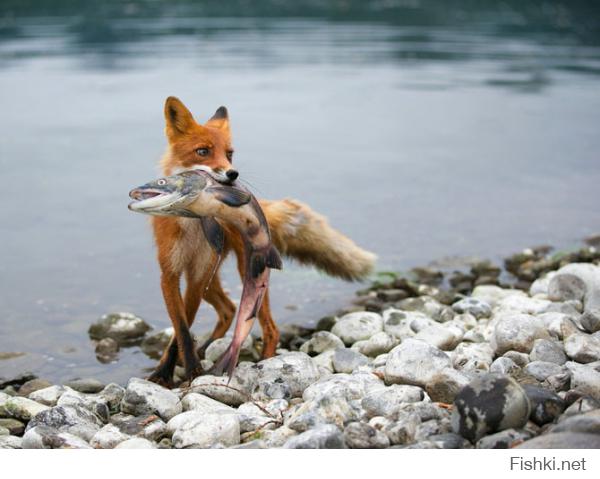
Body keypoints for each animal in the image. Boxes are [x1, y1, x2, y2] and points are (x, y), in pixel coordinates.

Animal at [148, 97, 376, 386]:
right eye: (203, 151)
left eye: (229, 153)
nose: (232, 174)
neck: (192, 224)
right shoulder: (171, 274)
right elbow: (182, 329)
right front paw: (168, 372)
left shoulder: (197, 275)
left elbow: (182, 331)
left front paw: (189, 372)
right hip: (211, 280)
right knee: (228, 309)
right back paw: (208, 348)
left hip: (246, 274)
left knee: (269, 328)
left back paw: (266, 363)